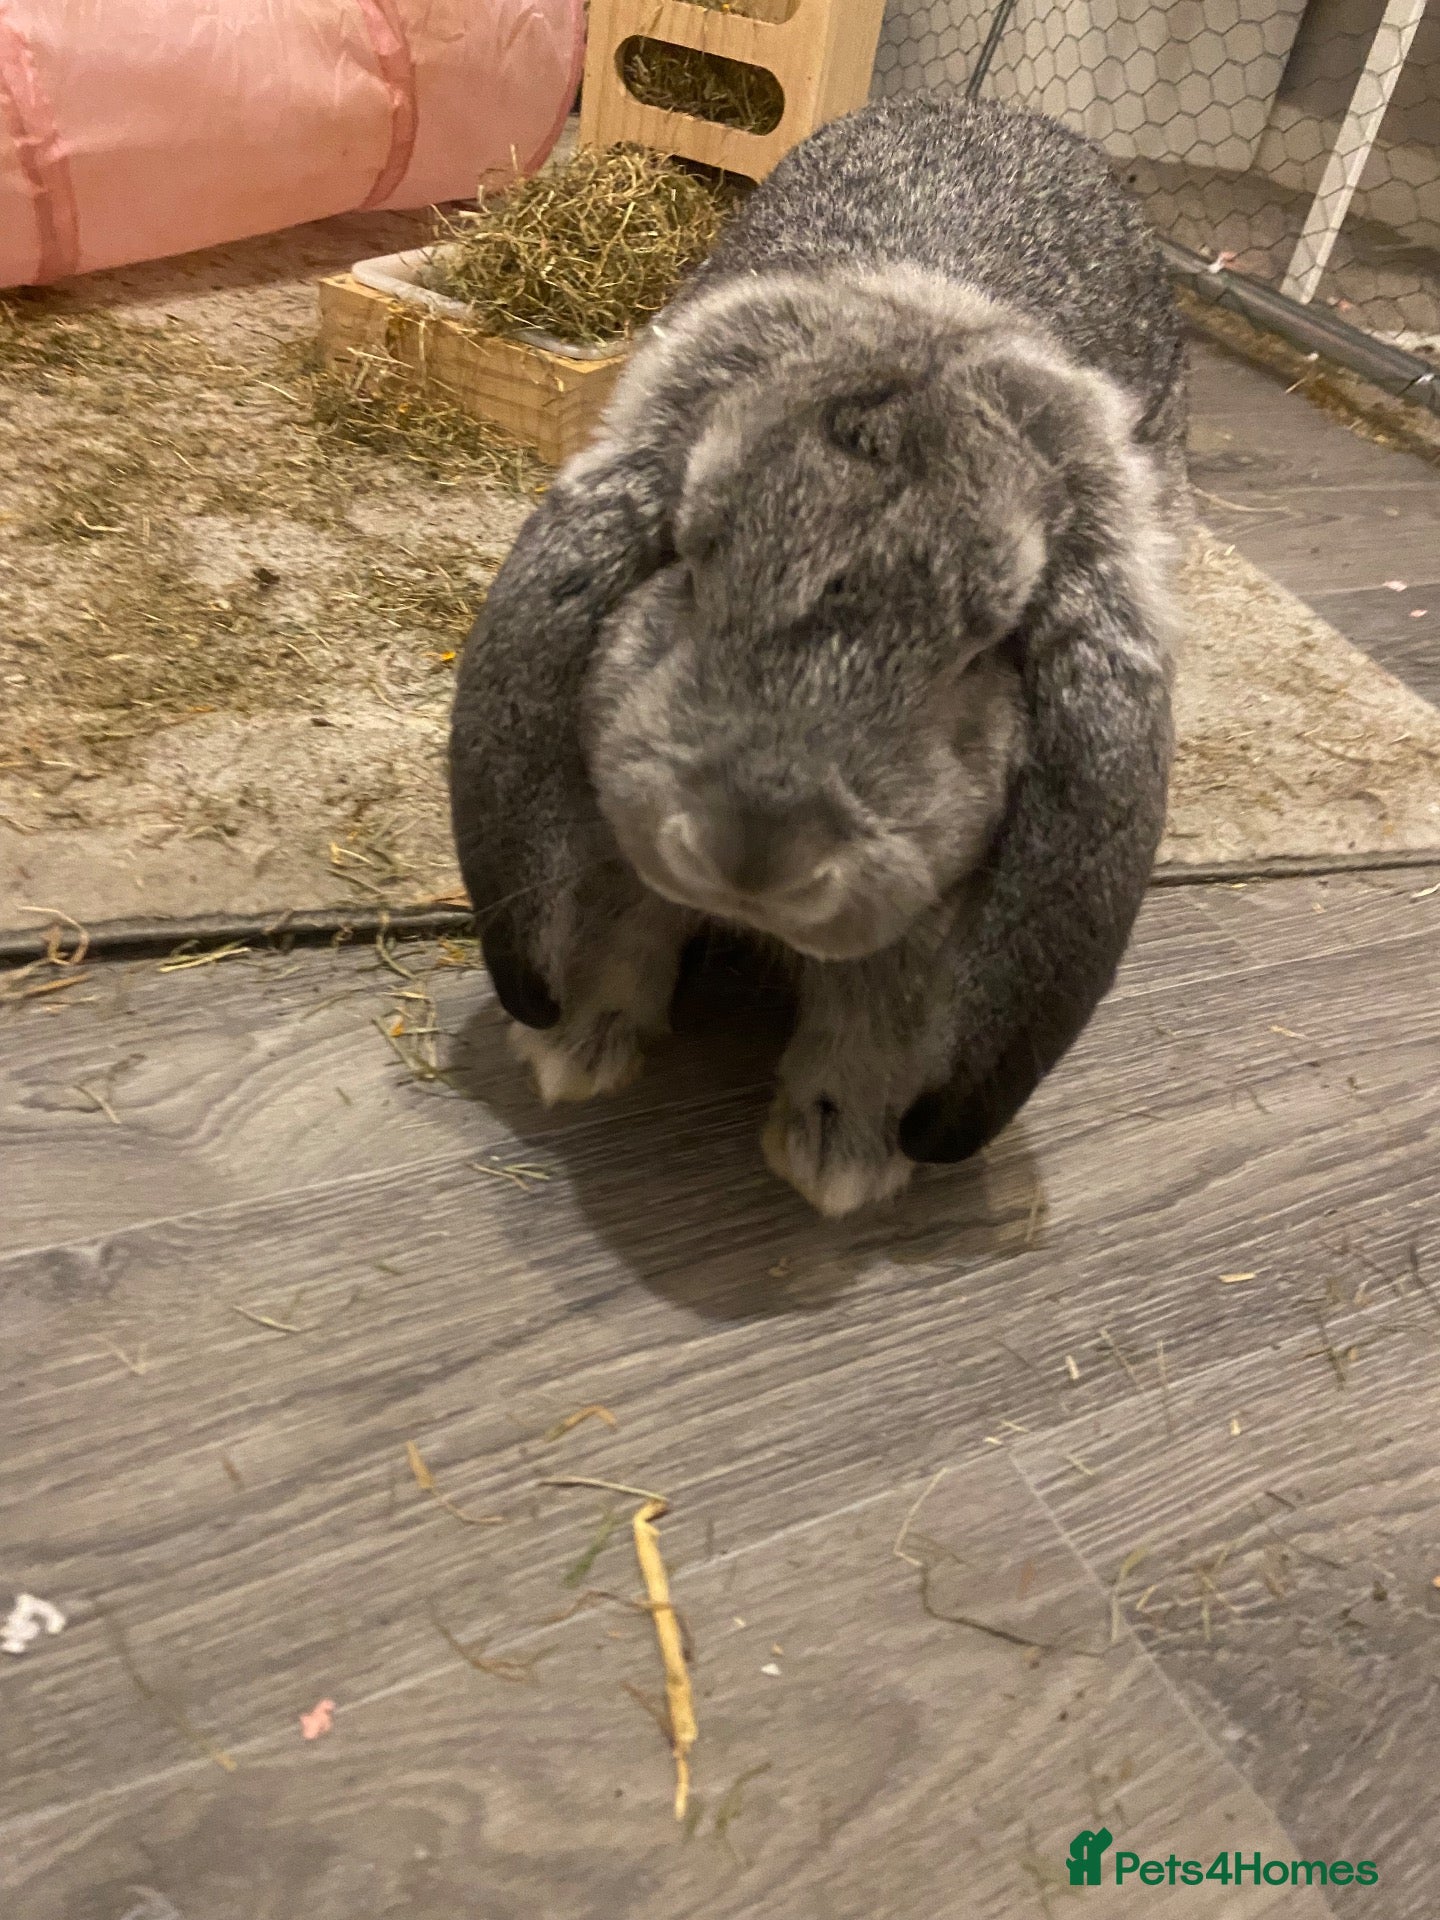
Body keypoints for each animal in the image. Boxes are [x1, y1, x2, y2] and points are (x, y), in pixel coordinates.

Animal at [449, 94, 1188, 1217]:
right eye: (689, 562)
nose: (755, 853)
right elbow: (625, 914)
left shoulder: (928, 924)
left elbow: (878, 1007)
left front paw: (842, 1156)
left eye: (986, 649)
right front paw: (573, 1049)